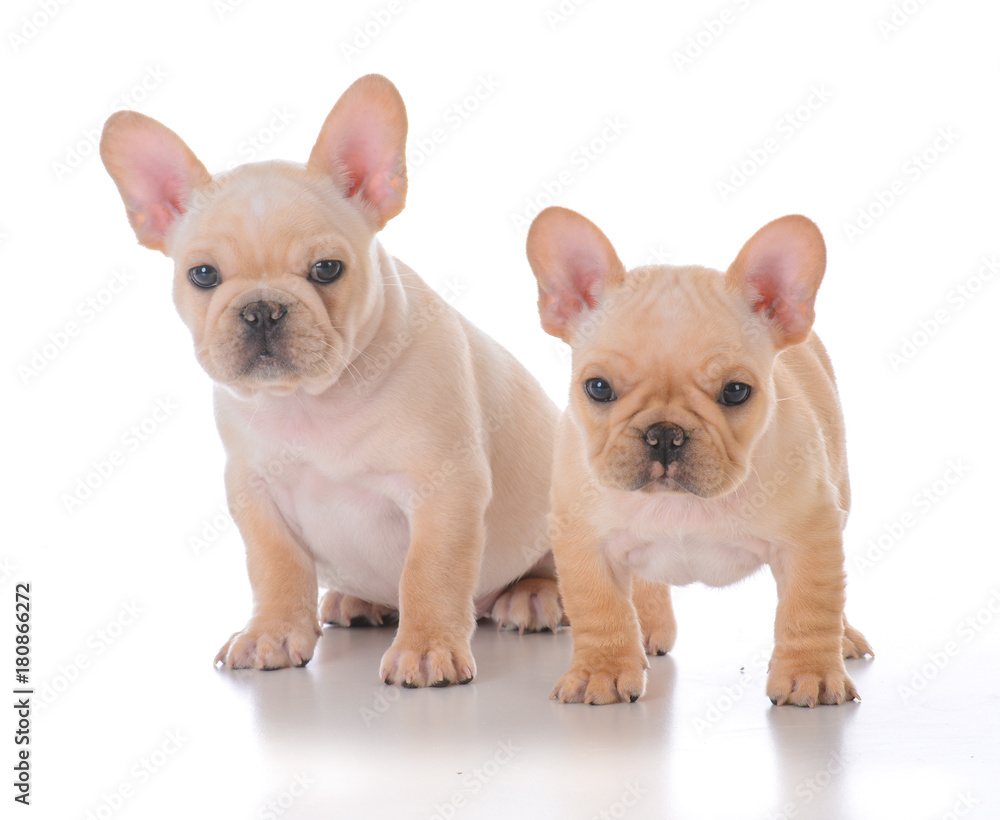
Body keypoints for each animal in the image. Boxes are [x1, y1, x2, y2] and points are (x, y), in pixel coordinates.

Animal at [100, 75, 564, 684]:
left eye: (326, 270)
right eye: (202, 275)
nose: (262, 309)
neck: (311, 403)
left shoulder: (445, 488)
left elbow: (430, 569)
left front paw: (426, 647)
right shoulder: (254, 493)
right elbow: (275, 567)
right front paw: (271, 633)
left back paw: (532, 595)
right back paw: (357, 600)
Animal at [528, 205, 872, 704]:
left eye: (735, 391)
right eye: (598, 388)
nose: (664, 434)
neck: (681, 505)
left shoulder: (811, 538)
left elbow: (810, 607)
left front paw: (809, 674)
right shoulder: (585, 543)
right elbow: (600, 608)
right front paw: (603, 670)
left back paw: (844, 639)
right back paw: (645, 629)